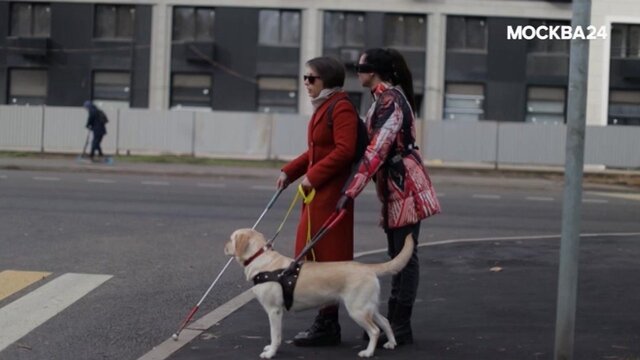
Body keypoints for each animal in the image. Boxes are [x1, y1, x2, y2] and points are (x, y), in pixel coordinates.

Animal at [225, 229, 416, 358]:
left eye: (231, 238)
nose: (224, 246)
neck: (260, 259)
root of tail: (367, 268)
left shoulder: (274, 311)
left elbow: (276, 335)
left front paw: (271, 352)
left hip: (358, 310)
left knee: (375, 331)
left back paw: (368, 352)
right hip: (368, 307)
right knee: (385, 321)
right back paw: (391, 342)